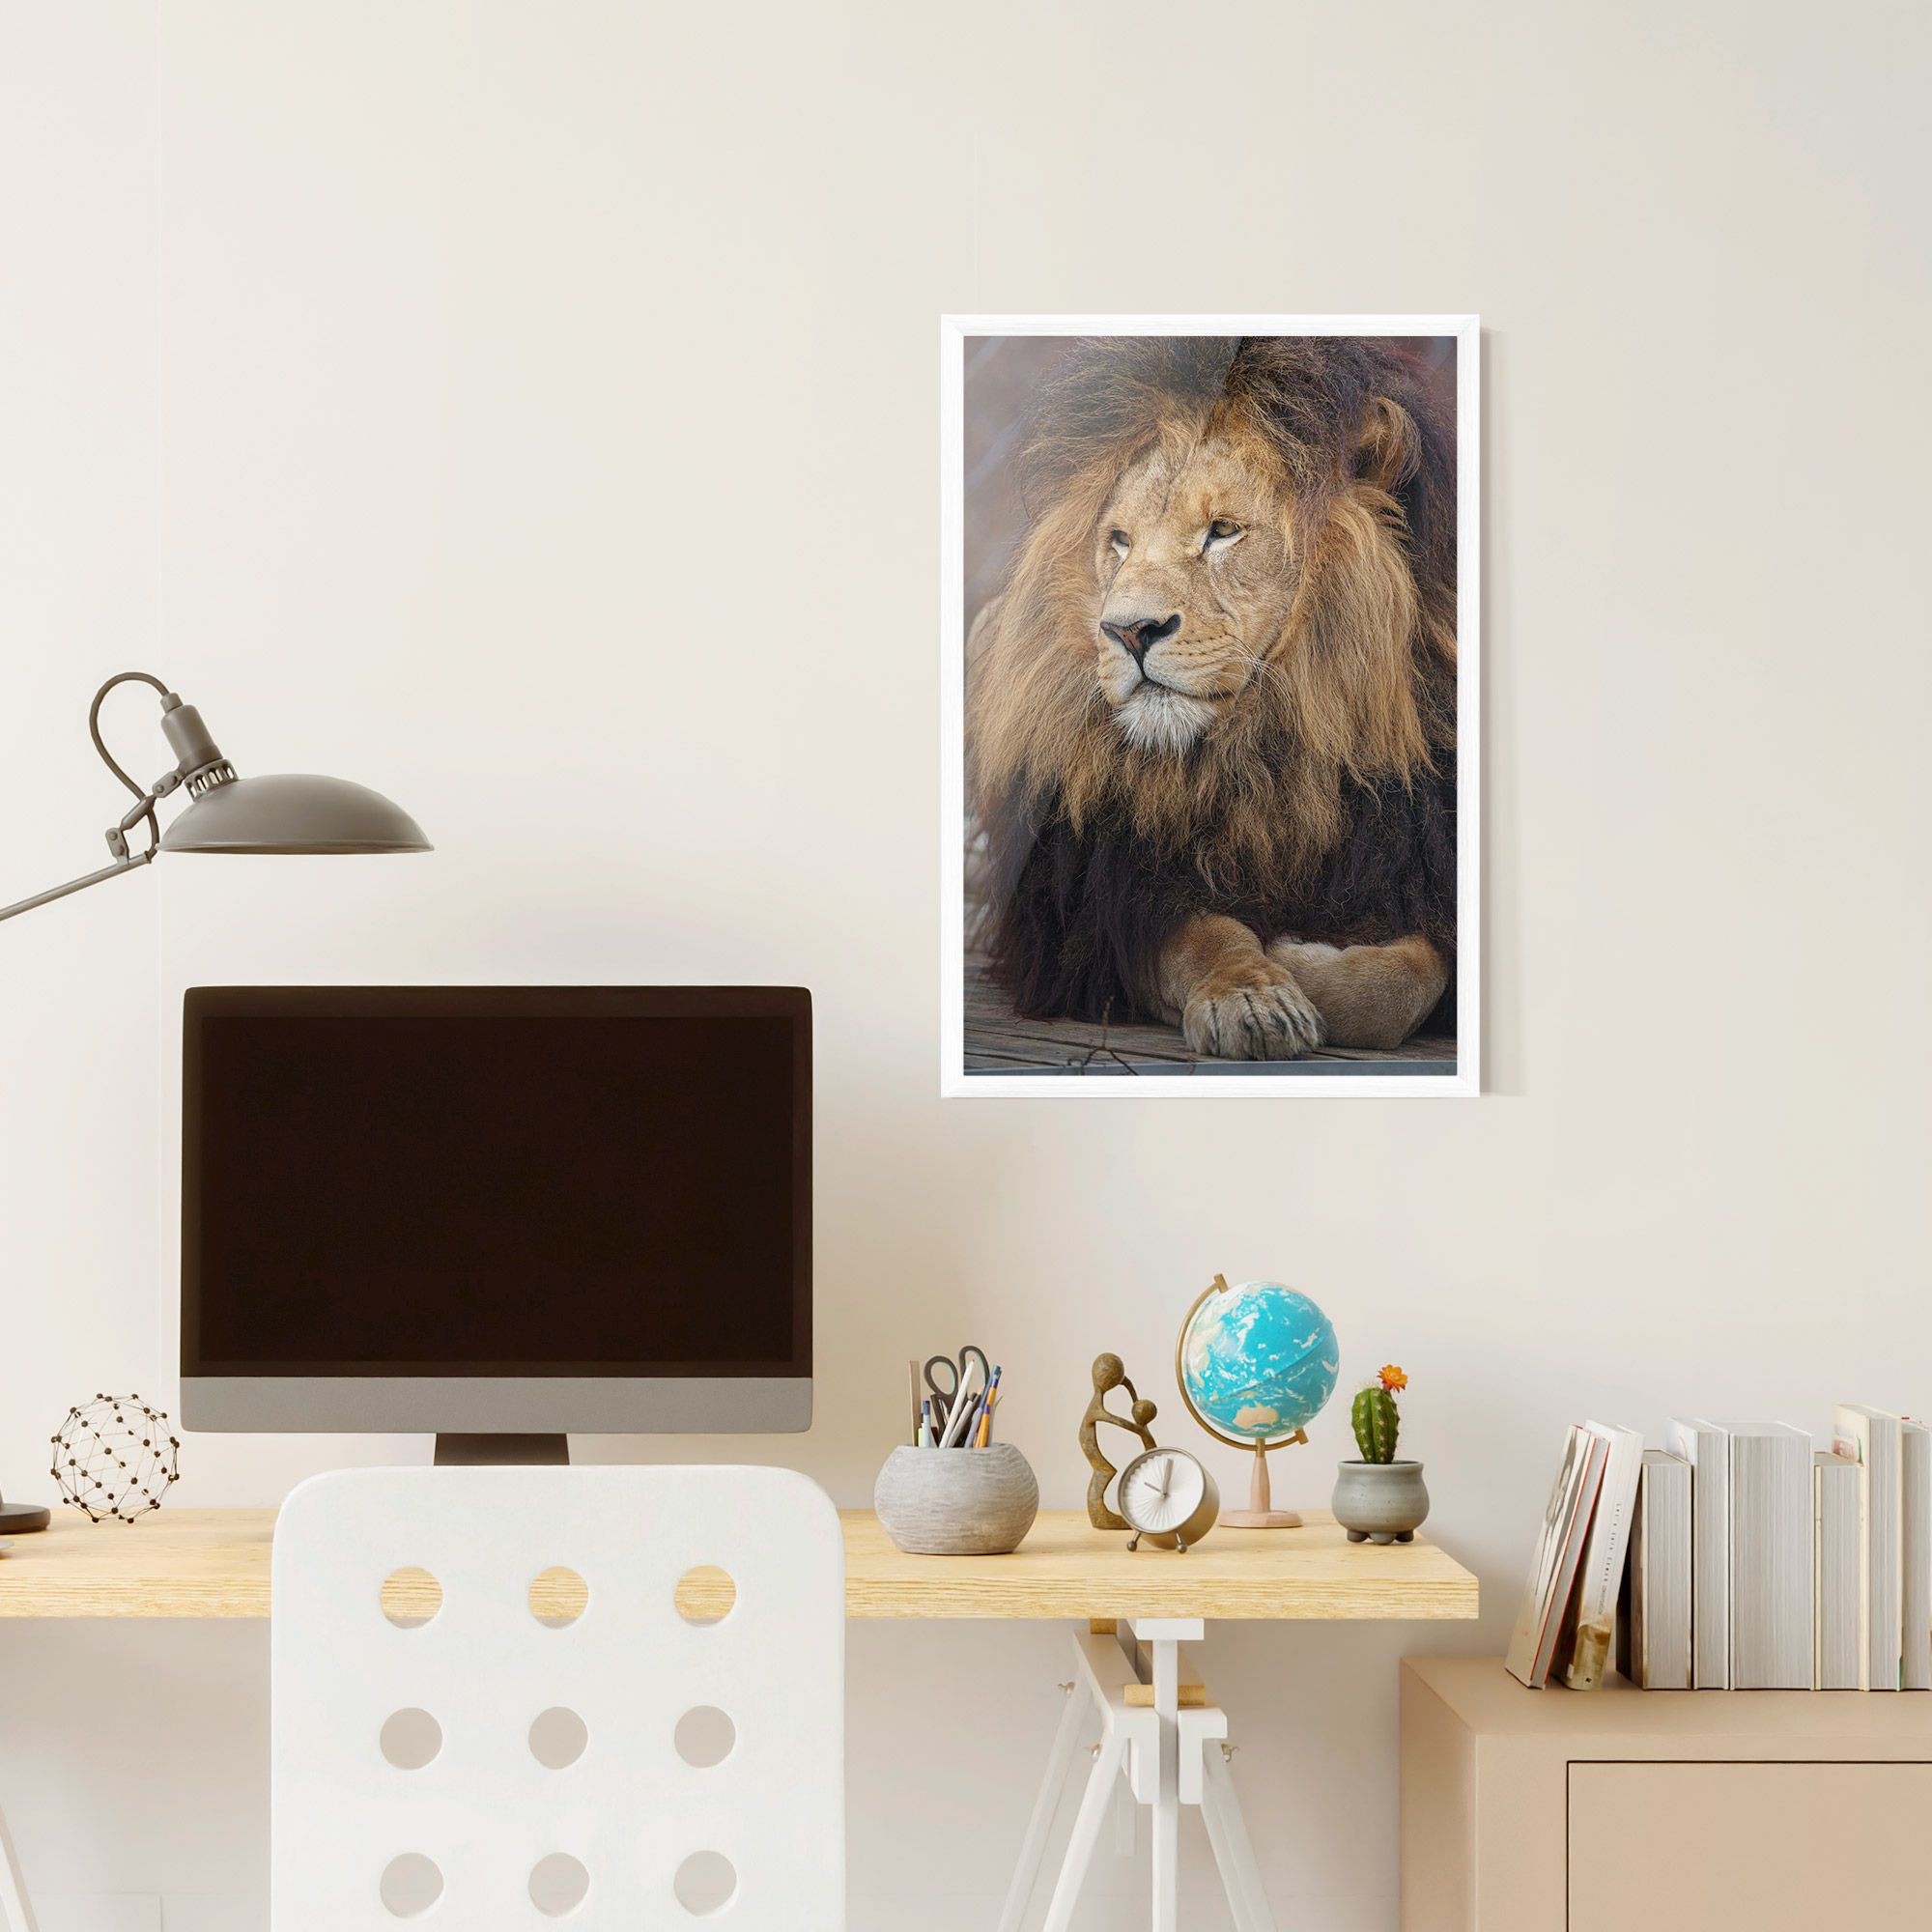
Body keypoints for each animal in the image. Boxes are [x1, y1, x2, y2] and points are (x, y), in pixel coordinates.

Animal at [967, 335, 1457, 1061]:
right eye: (1119, 542)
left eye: (1223, 531)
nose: (1127, 630)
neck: (1265, 755)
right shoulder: (1103, 904)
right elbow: (1202, 938)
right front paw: (1255, 994)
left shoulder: (1415, 869)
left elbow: (1405, 983)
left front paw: (1303, 954)